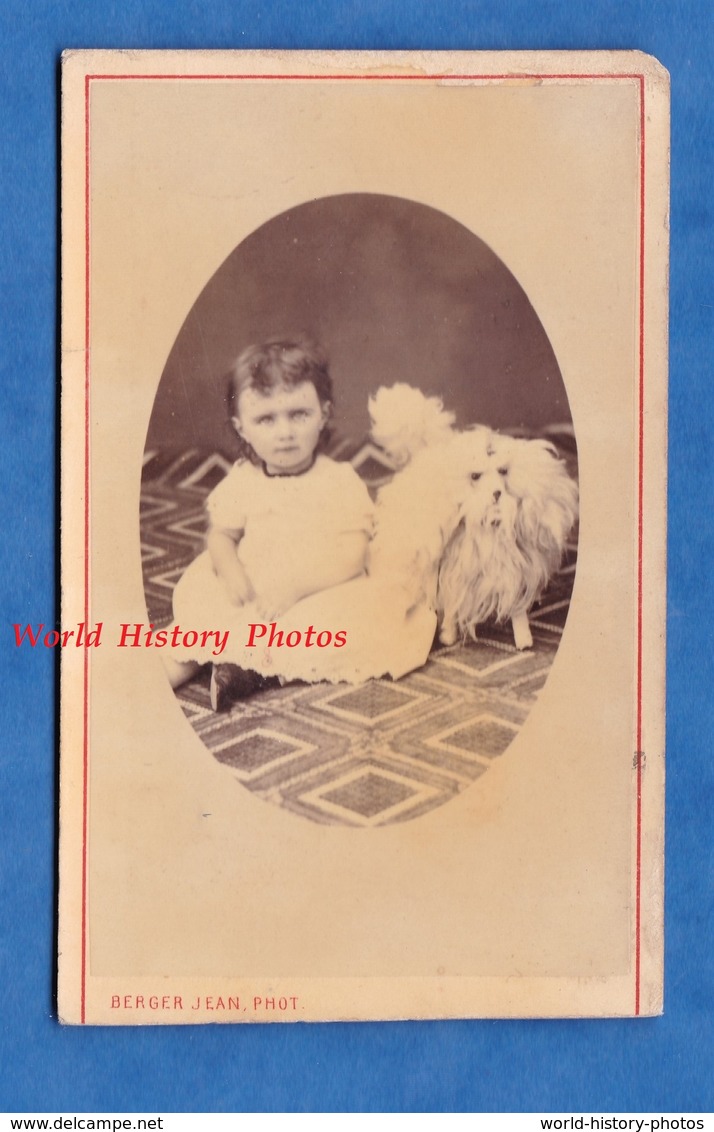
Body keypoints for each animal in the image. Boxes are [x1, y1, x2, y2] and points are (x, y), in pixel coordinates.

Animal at [366, 382, 579, 652]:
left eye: (503, 471)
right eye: (475, 476)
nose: (497, 493)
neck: (488, 524)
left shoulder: (514, 572)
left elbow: (517, 611)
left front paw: (524, 640)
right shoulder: (453, 575)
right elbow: (451, 608)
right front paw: (448, 636)